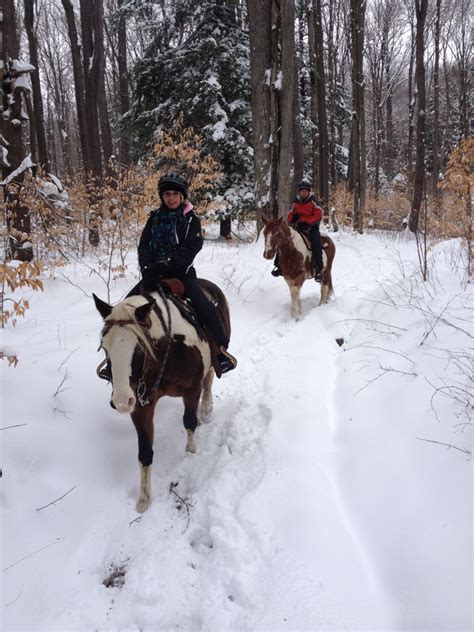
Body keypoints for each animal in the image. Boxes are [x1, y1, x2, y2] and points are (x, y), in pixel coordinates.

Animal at [92, 282, 230, 512]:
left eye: (139, 348)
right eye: (105, 347)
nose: (121, 402)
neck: (171, 347)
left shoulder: (191, 390)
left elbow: (189, 421)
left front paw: (191, 452)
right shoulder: (141, 404)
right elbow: (145, 451)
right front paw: (144, 500)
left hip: (212, 363)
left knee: (209, 381)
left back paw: (206, 409)